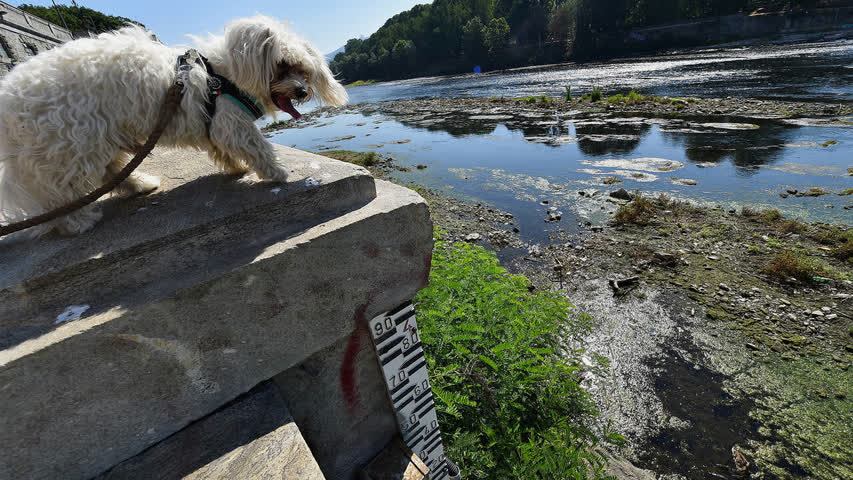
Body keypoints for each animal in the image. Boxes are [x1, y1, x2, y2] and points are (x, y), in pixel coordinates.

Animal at [0, 15, 346, 237]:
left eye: (303, 70)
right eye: (283, 66)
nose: (301, 91)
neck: (222, 74)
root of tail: (8, 99)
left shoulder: (215, 124)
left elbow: (221, 149)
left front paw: (235, 168)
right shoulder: (232, 120)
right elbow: (256, 146)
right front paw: (276, 172)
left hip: (97, 136)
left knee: (110, 172)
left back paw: (141, 185)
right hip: (69, 144)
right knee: (62, 193)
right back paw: (79, 222)